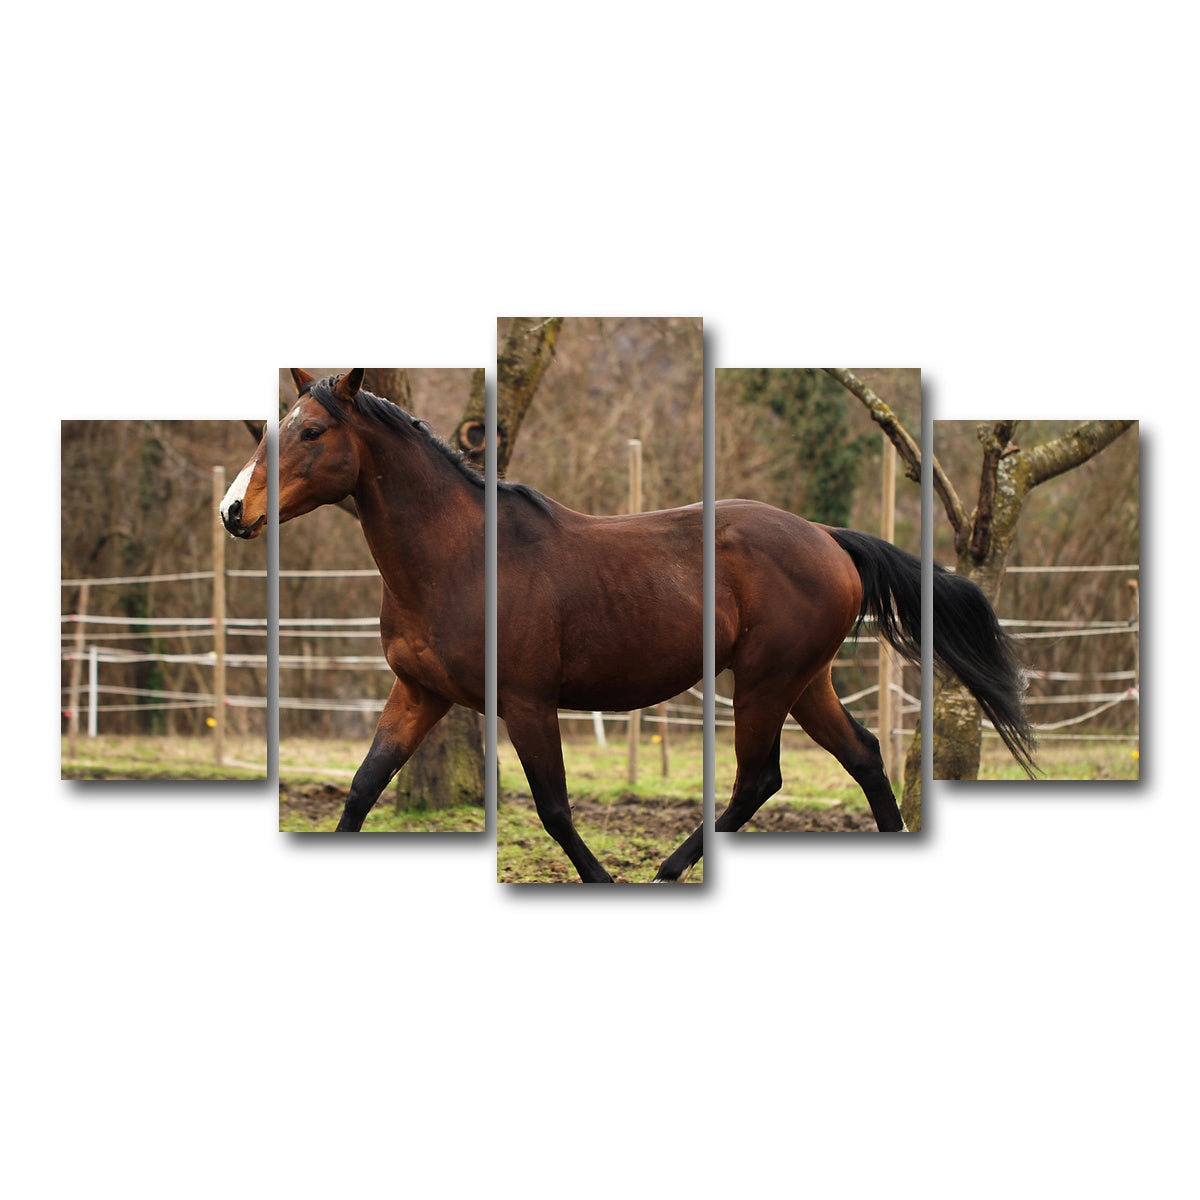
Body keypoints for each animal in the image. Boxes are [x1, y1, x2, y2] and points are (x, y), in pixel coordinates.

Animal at [221, 369, 1034, 882]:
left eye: (311, 431)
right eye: (268, 430)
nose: (234, 512)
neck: (459, 558)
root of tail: (829, 539)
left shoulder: (526, 701)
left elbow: (553, 808)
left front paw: (603, 877)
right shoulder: (419, 694)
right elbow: (362, 788)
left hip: (766, 680)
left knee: (759, 779)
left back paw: (669, 869)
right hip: (805, 681)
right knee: (862, 756)